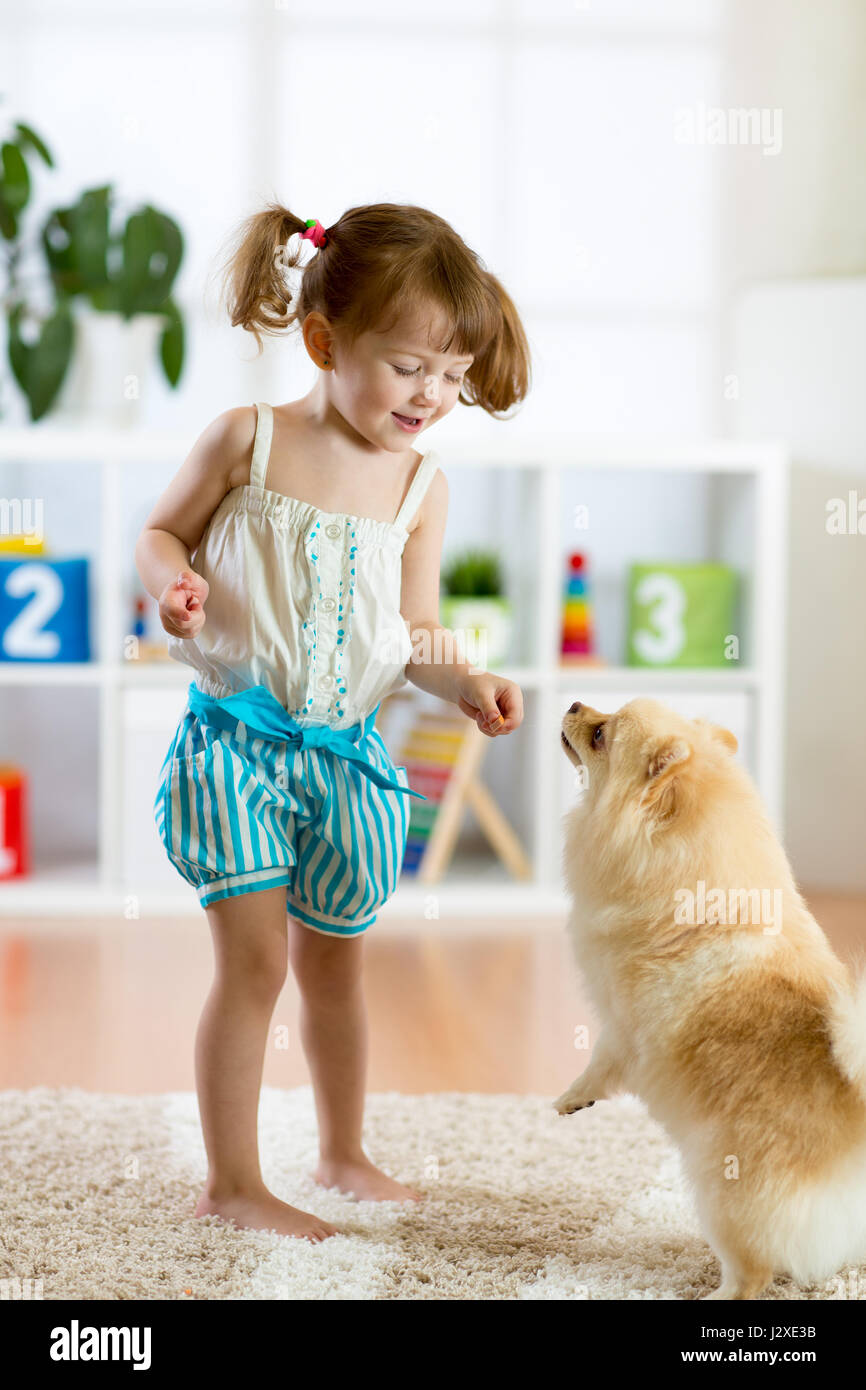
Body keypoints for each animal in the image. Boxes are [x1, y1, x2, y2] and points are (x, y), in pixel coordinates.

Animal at [556, 700, 866, 1295]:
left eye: (601, 734)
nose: (576, 705)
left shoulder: (621, 1024)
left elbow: (598, 1061)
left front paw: (572, 1097)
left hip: (726, 1192)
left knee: (752, 1273)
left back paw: (716, 1291)